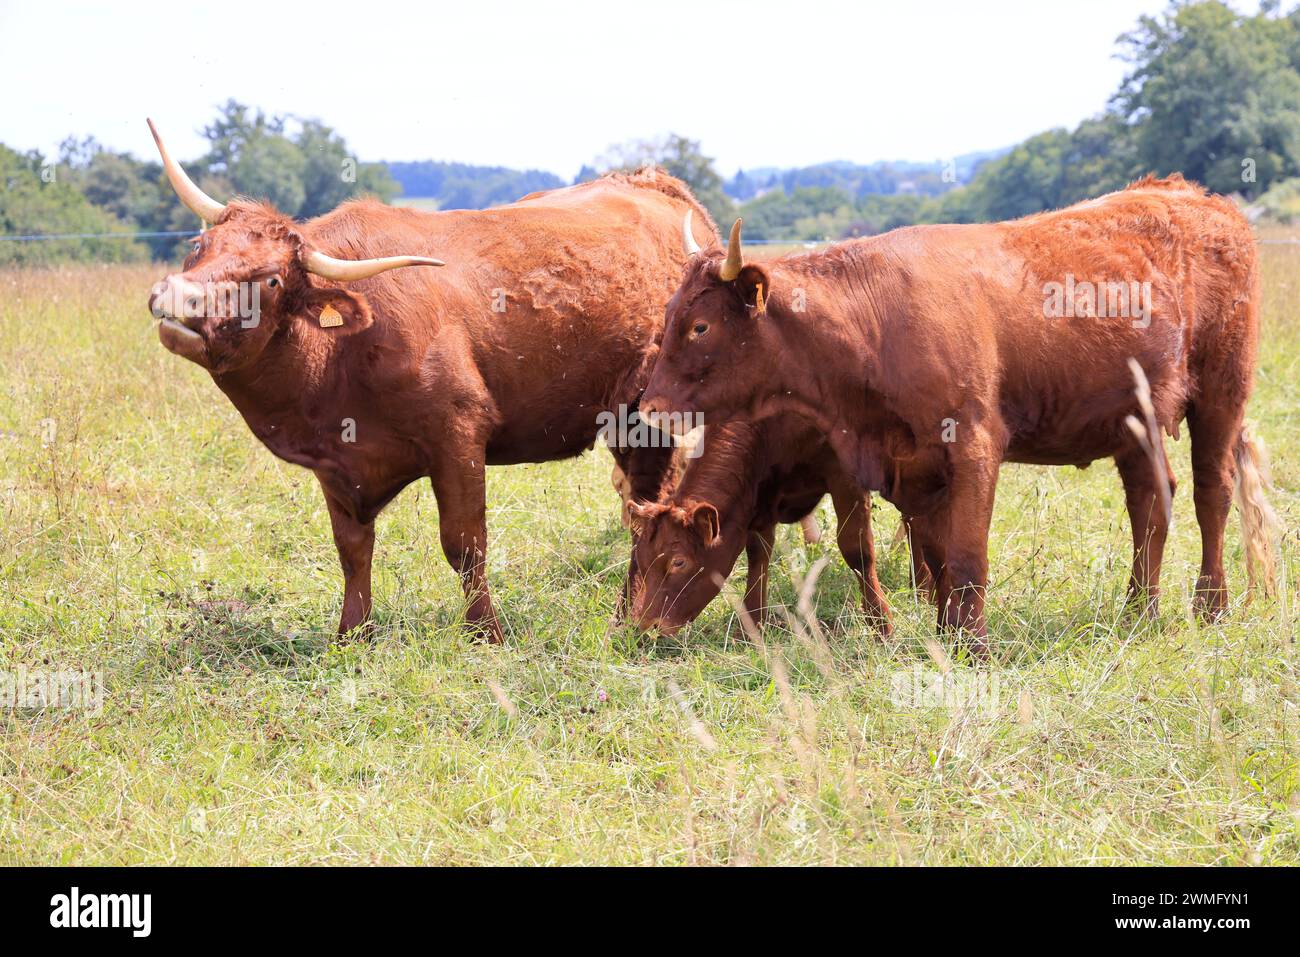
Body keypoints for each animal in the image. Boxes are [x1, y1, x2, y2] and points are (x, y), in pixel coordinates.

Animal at [146, 119, 717, 642]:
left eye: (270, 280)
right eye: (199, 243)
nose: (178, 296)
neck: (342, 355)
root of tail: (655, 182)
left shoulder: (458, 436)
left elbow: (464, 545)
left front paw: (486, 632)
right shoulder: (336, 465)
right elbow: (353, 550)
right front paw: (352, 633)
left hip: (651, 426)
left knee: (646, 512)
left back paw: (626, 617)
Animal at [626, 418, 894, 634]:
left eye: (679, 562)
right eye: (642, 560)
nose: (647, 626)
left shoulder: (846, 477)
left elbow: (856, 549)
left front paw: (880, 622)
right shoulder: (762, 494)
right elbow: (758, 554)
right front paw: (752, 624)